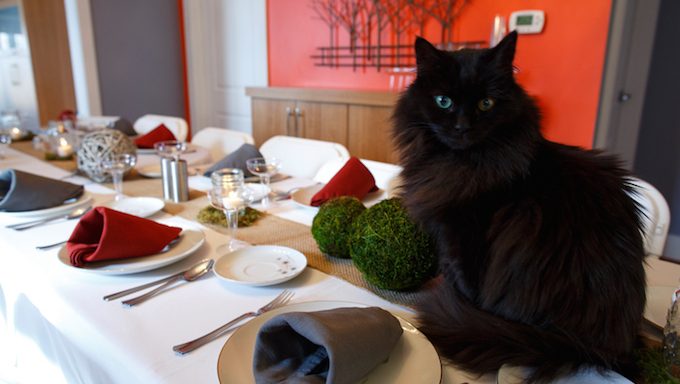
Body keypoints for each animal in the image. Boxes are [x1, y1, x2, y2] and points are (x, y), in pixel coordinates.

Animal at [390, 31, 644, 382]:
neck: (462, 166)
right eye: (443, 101)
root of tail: (584, 345)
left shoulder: (464, 235)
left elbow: (466, 284)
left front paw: (459, 301)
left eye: (486, 103)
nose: (462, 127)